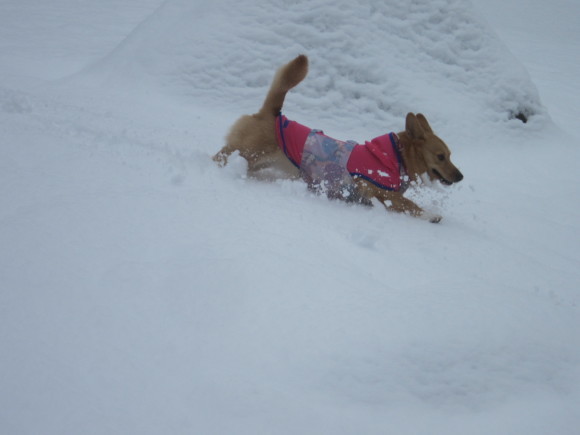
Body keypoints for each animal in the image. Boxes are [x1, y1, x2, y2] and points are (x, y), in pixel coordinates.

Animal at [213, 54, 462, 223]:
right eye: (440, 156)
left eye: (450, 155)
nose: (460, 176)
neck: (396, 157)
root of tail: (273, 113)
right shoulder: (381, 192)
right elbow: (411, 205)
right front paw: (431, 214)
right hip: (246, 153)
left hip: (259, 162)